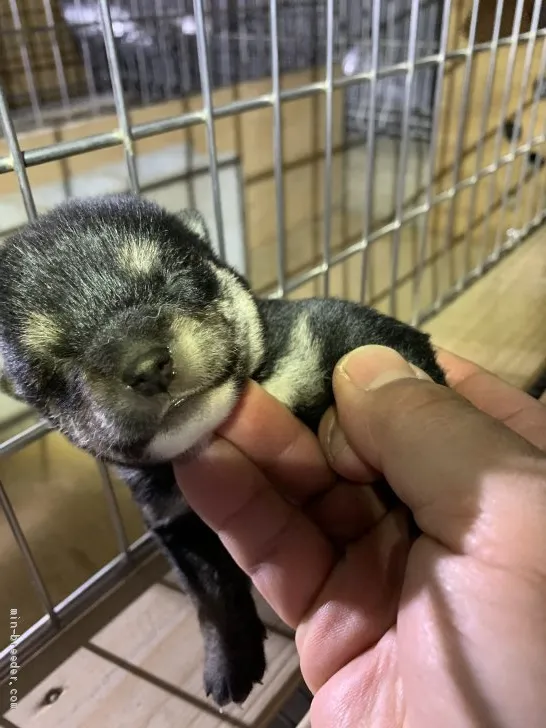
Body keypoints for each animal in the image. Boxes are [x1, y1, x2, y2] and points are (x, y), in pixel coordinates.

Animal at [0, 192, 444, 704]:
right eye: (52, 368)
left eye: (176, 276)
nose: (145, 366)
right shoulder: (177, 524)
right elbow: (212, 599)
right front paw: (228, 664)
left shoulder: (352, 334)